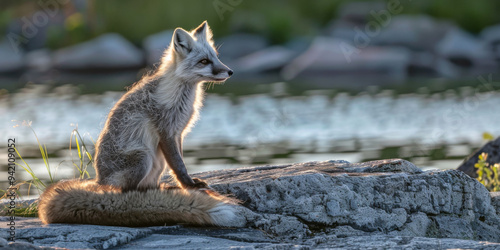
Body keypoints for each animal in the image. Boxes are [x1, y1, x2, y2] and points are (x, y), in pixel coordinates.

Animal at [38, 21, 239, 227]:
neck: (181, 94)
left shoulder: (178, 133)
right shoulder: (166, 131)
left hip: (157, 161)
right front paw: (190, 186)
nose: (230, 71)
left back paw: (163, 190)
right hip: (143, 157)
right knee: (126, 193)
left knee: (148, 186)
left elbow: (180, 163)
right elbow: (179, 165)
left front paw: (186, 185)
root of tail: (100, 182)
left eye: (216, 57)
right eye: (204, 61)